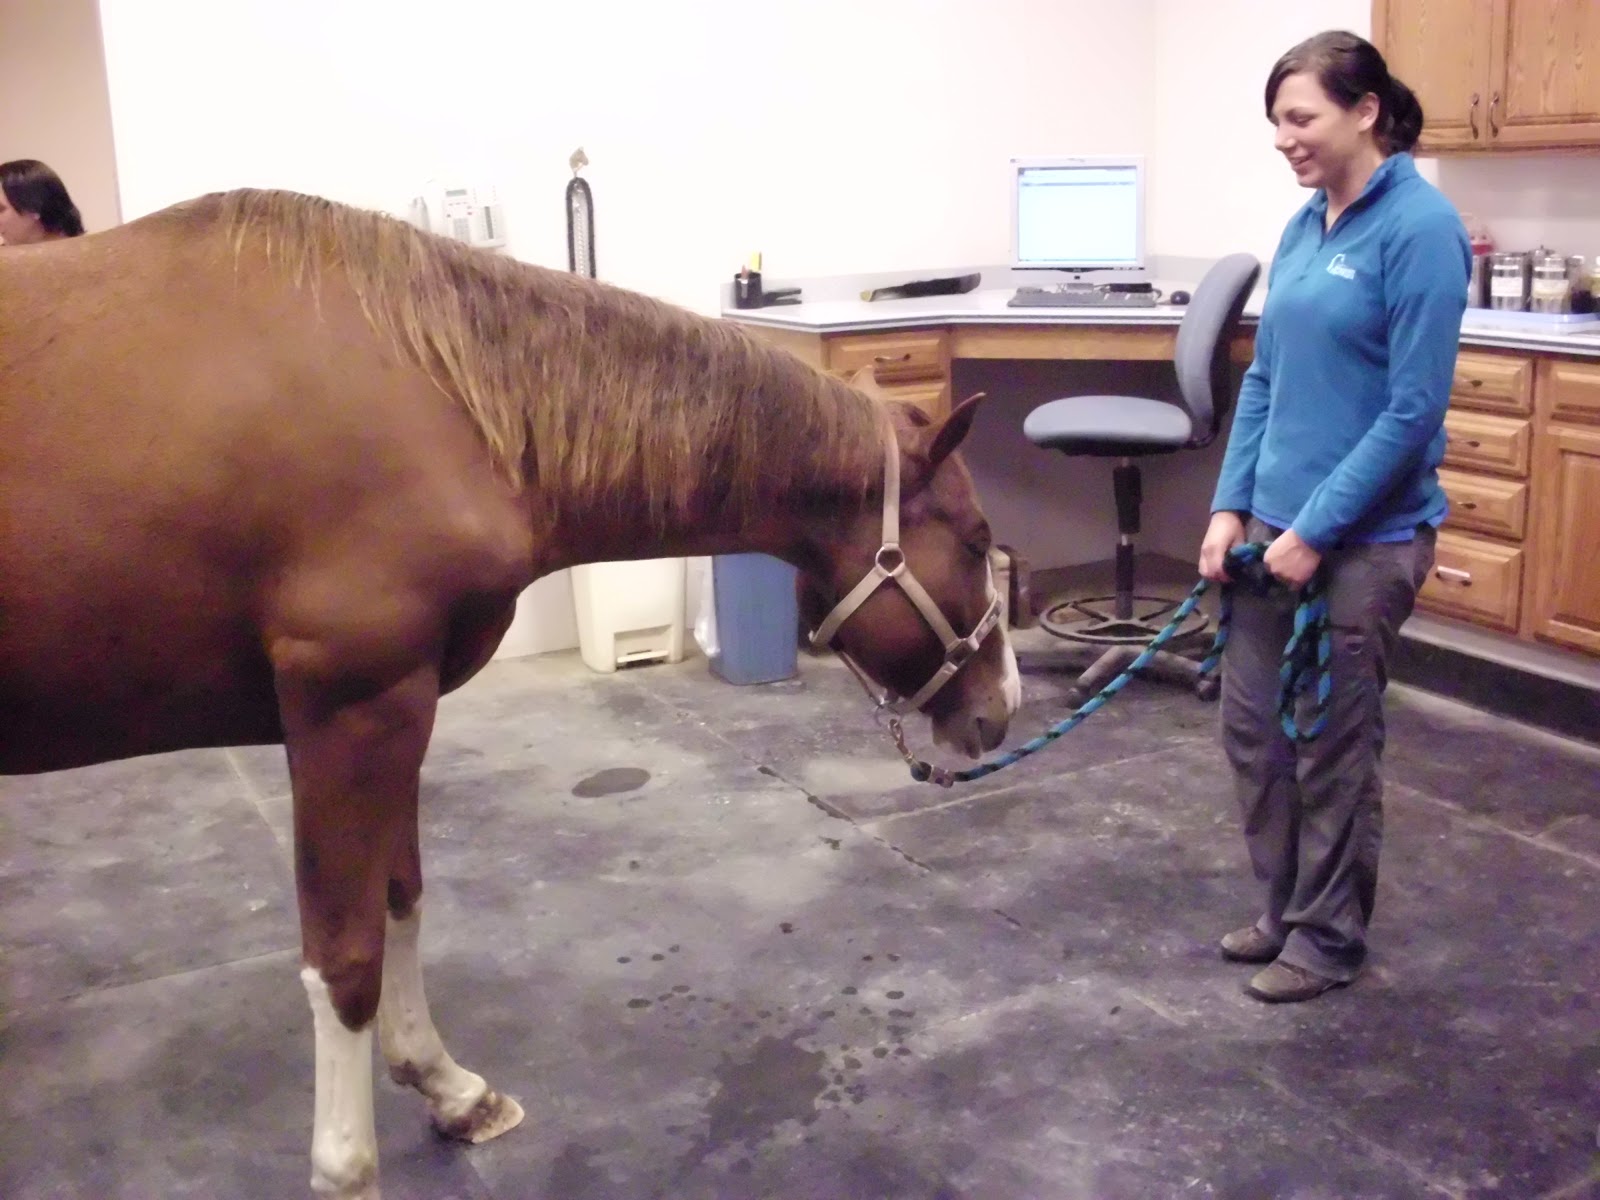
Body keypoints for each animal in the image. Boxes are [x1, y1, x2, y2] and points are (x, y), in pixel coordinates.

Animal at [0, 189, 1020, 1199]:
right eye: (976, 540)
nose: (1001, 709)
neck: (430, 385)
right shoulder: (348, 713)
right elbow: (345, 959)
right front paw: (347, 1166)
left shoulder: (394, 711)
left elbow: (400, 900)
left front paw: (447, 1087)